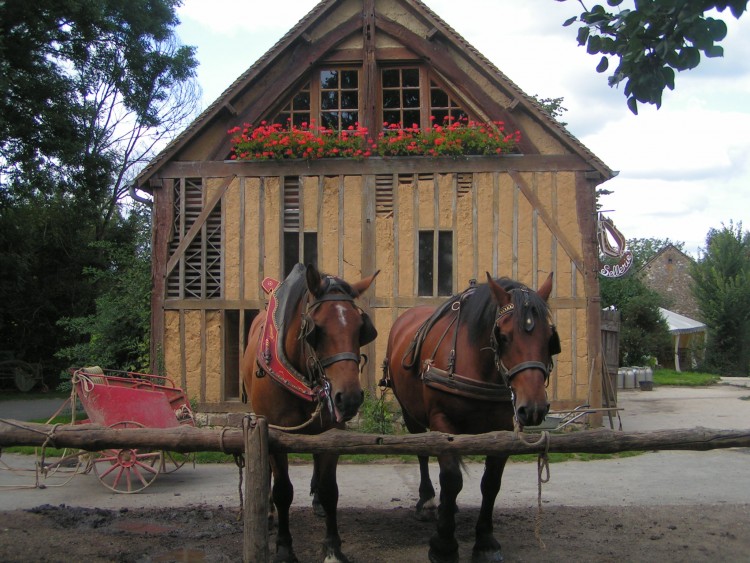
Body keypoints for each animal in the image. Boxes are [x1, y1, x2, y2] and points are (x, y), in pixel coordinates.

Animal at [244, 264, 378, 563]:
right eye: (317, 330)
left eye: (360, 329)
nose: (349, 398)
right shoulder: (276, 435)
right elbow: (283, 491)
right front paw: (284, 547)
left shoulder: (332, 433)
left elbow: (330, 490)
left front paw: (333, 547)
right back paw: (267, 512)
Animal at [388, 274, 560, 563]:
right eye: (503, 336)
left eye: (549, 338)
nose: (534, 407)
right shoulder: (442, 421)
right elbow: (451, 478)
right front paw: (444, 544)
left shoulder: (503, 431)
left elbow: (490, 484)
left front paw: (485, 541)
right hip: (410, 412)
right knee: (422, 452)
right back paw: (427, 500)